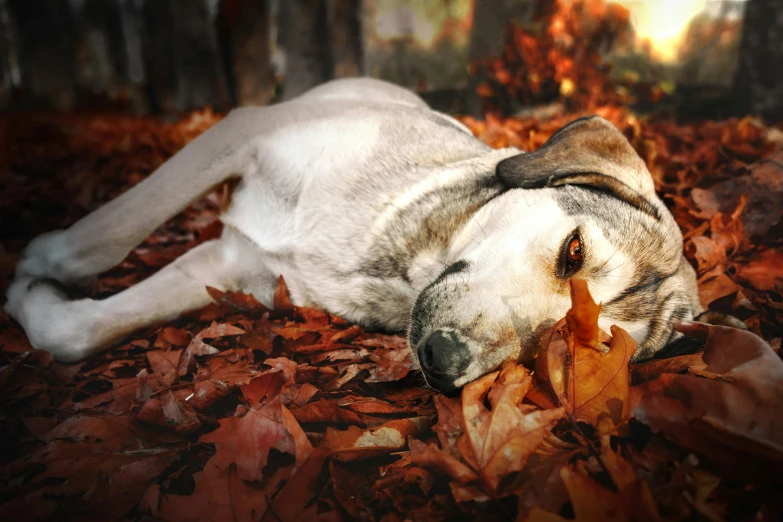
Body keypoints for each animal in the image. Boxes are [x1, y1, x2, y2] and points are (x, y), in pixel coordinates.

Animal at [6, 77, 716, 390]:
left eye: (574, 345)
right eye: (573, 251)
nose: (443, 362)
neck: (398, 262)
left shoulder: (230, 270)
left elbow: (76, 331)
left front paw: (31, 298)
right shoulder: (242, 131)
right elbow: (102, 236)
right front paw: (35, 258)